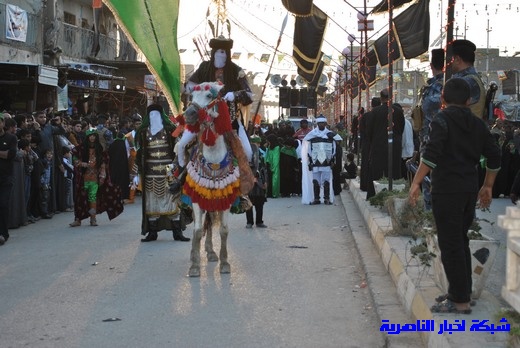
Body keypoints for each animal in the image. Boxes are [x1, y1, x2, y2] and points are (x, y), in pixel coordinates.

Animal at [177, 81, 254, 278]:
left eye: (210, 96)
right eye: (191, 97)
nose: (189, 114)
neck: (213, 159)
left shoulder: (224, 199)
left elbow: (223, 230)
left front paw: (225, 263)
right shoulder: (197, 198)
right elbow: (197, 230)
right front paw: (194, 265)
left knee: (211, 222)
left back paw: (211, 252)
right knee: (204, 223)